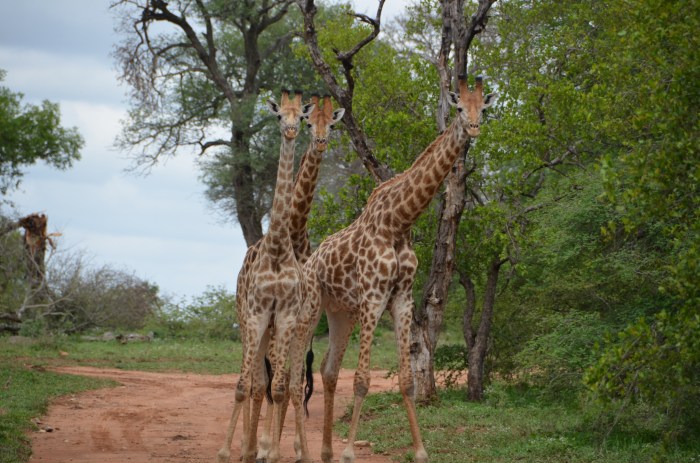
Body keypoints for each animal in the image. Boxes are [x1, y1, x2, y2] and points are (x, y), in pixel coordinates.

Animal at [217, 89, 313, 463]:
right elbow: (243, 386)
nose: (290, 131)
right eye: (278, 116)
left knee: (268, 385)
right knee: (252, 383)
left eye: (301, 117)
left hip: (271, 329)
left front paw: (270, 452)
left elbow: (280, 387)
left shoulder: (283, 316)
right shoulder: (257, 314)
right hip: (247, 323)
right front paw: (228, 452)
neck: (275, 249)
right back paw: (243, 448)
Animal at [287, 76, 495, 463]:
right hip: (311, 307)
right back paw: (301, 452)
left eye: (483, 109)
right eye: (460, 107)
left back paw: (324, 451)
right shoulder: (373, 296)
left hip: (341, 313)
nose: (473, 128)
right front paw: (349, 453)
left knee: (327, 370)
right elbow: (363, 380)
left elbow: (408, 380)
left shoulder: (401, 297)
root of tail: (309, 262)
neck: (400, 221)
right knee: (294, 378)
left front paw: (420, 451)